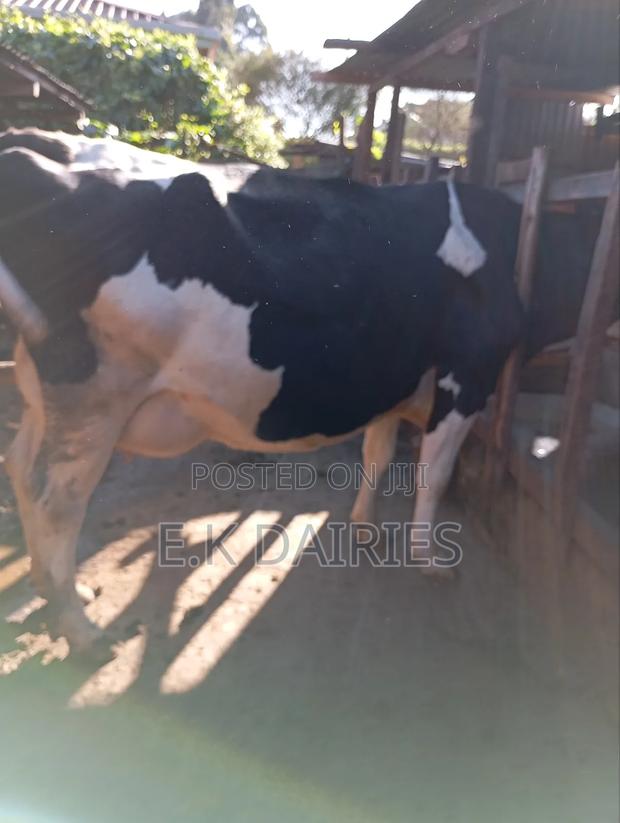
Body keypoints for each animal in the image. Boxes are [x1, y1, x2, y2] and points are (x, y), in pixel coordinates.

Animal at [0, 129, 594, 652]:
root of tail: (35, 146)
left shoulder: (393, 376)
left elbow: (378, 452)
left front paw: (364, 529)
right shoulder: (468, 376)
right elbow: (434, 474)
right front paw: (429, 560)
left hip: (44, 389)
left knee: (22, 469)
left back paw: (58, 591)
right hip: (95, 393)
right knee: (57, 500)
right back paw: (82, 631)